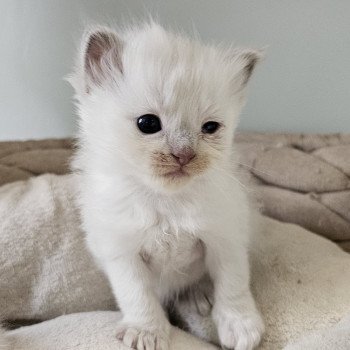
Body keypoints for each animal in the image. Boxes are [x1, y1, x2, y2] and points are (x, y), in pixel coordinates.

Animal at [69, 22, 264, 350]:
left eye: (210, 127)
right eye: (148, 124)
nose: (184, 155)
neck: (166, 201)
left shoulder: (225, 239)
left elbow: (233, 286)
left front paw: (241, 327)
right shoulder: (122, 252)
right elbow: (137, 296)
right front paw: (145, 332)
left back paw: (197, 296)